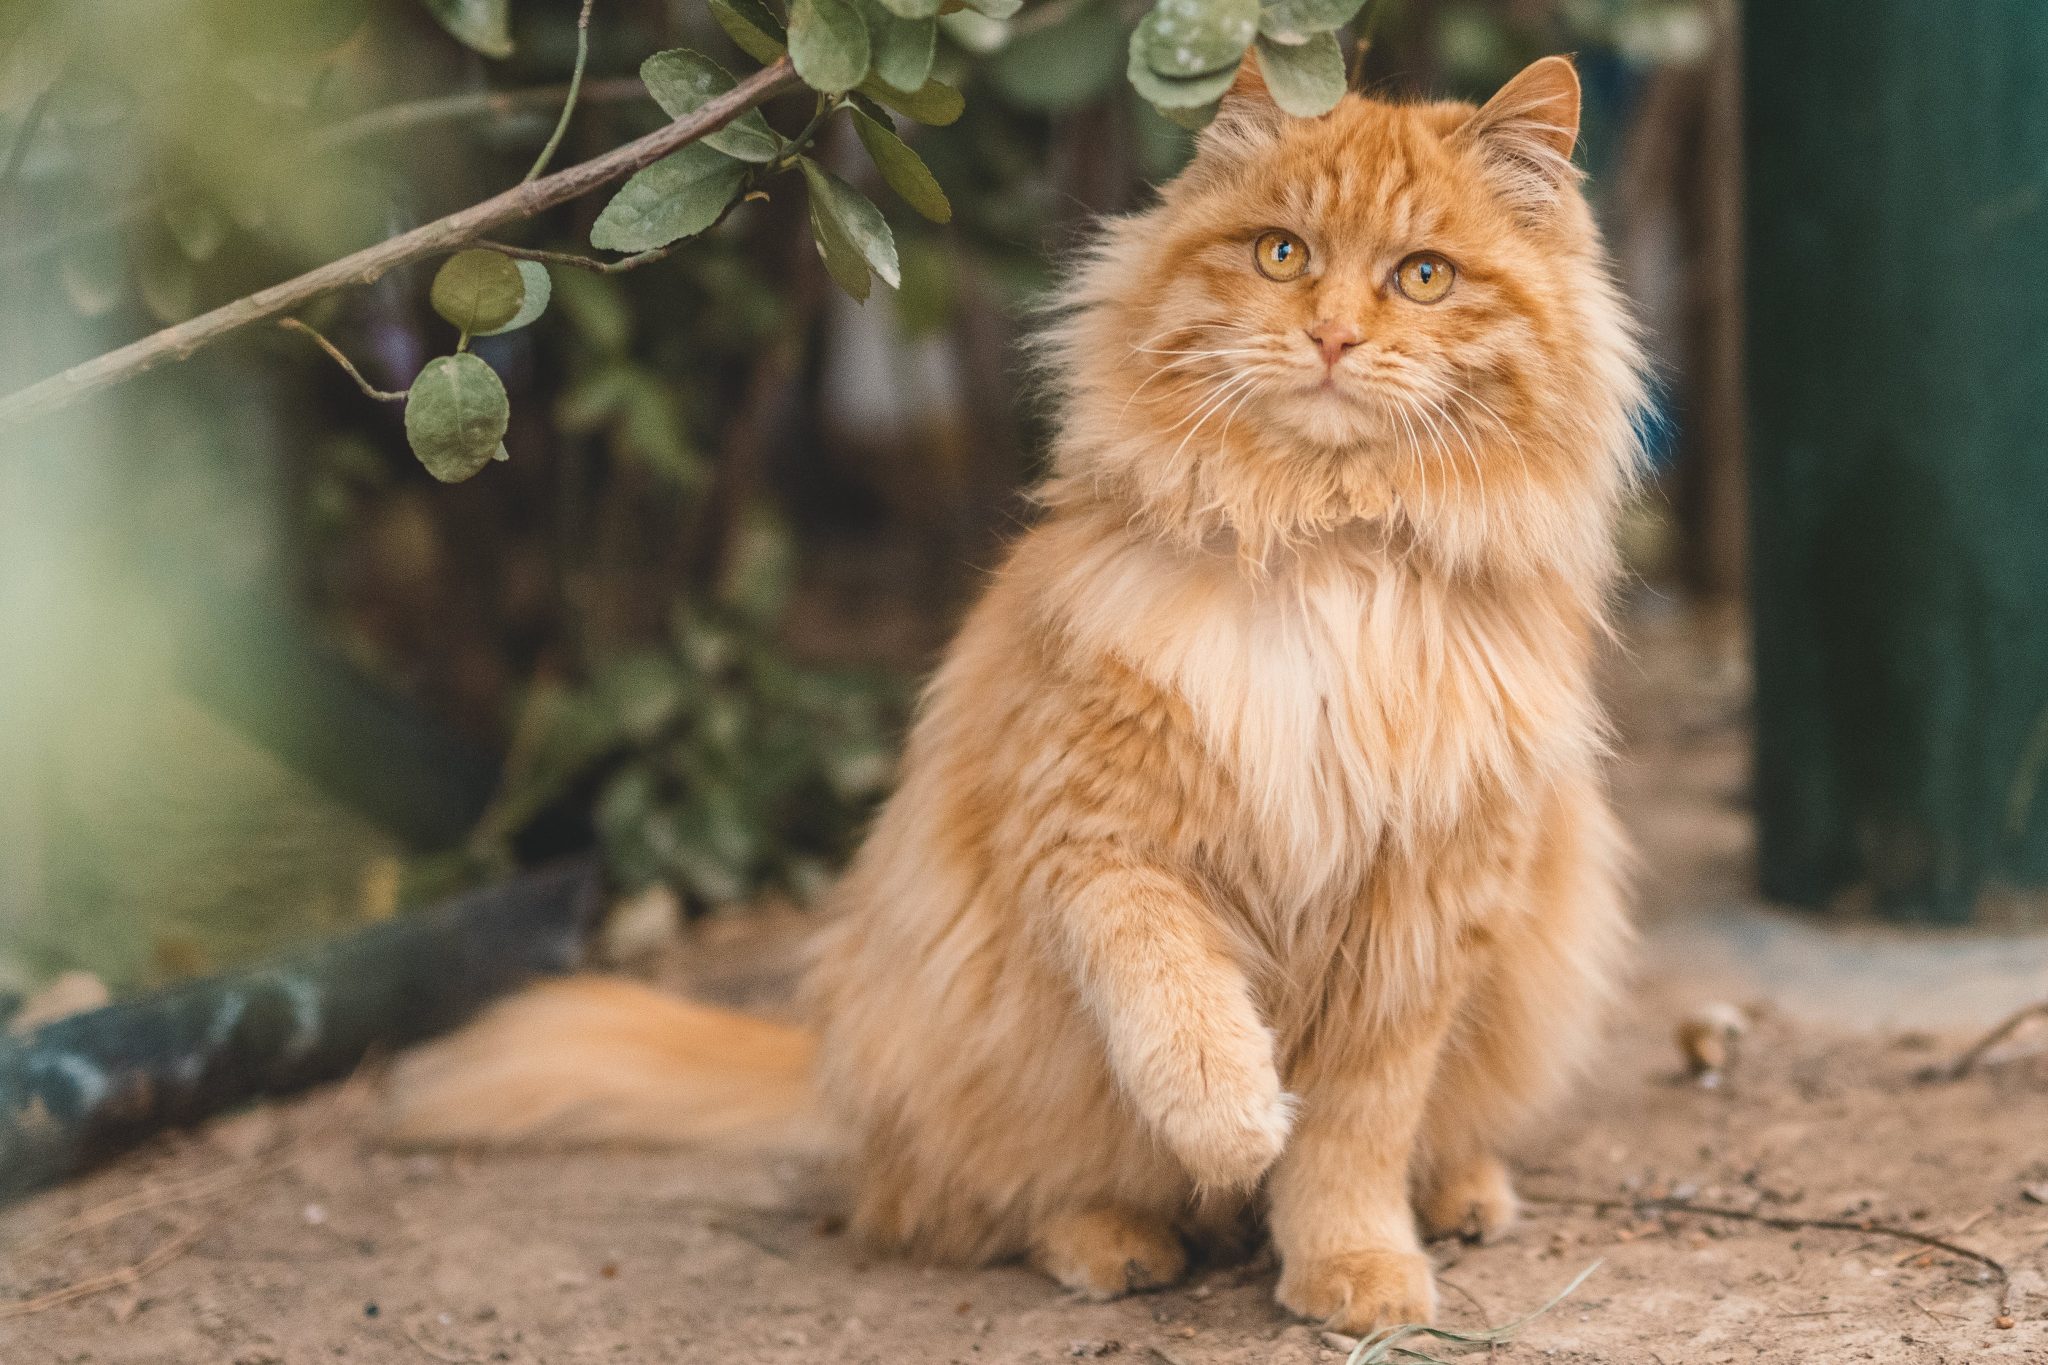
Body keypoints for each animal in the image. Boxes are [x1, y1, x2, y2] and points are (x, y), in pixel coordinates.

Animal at [387, 53, 1646, 1334]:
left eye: (1422, 277)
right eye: (1279, 254)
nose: (1333, 336)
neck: (1317, 546)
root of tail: (830, 1065)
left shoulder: (1424, 910)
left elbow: (1357, 1130)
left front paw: (1355, 1266)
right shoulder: (1096, 840)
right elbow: (1176, 1005)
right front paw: (1234, 1124)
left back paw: (1460, 1194)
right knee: (986, 1200)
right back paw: (1114, 1239)